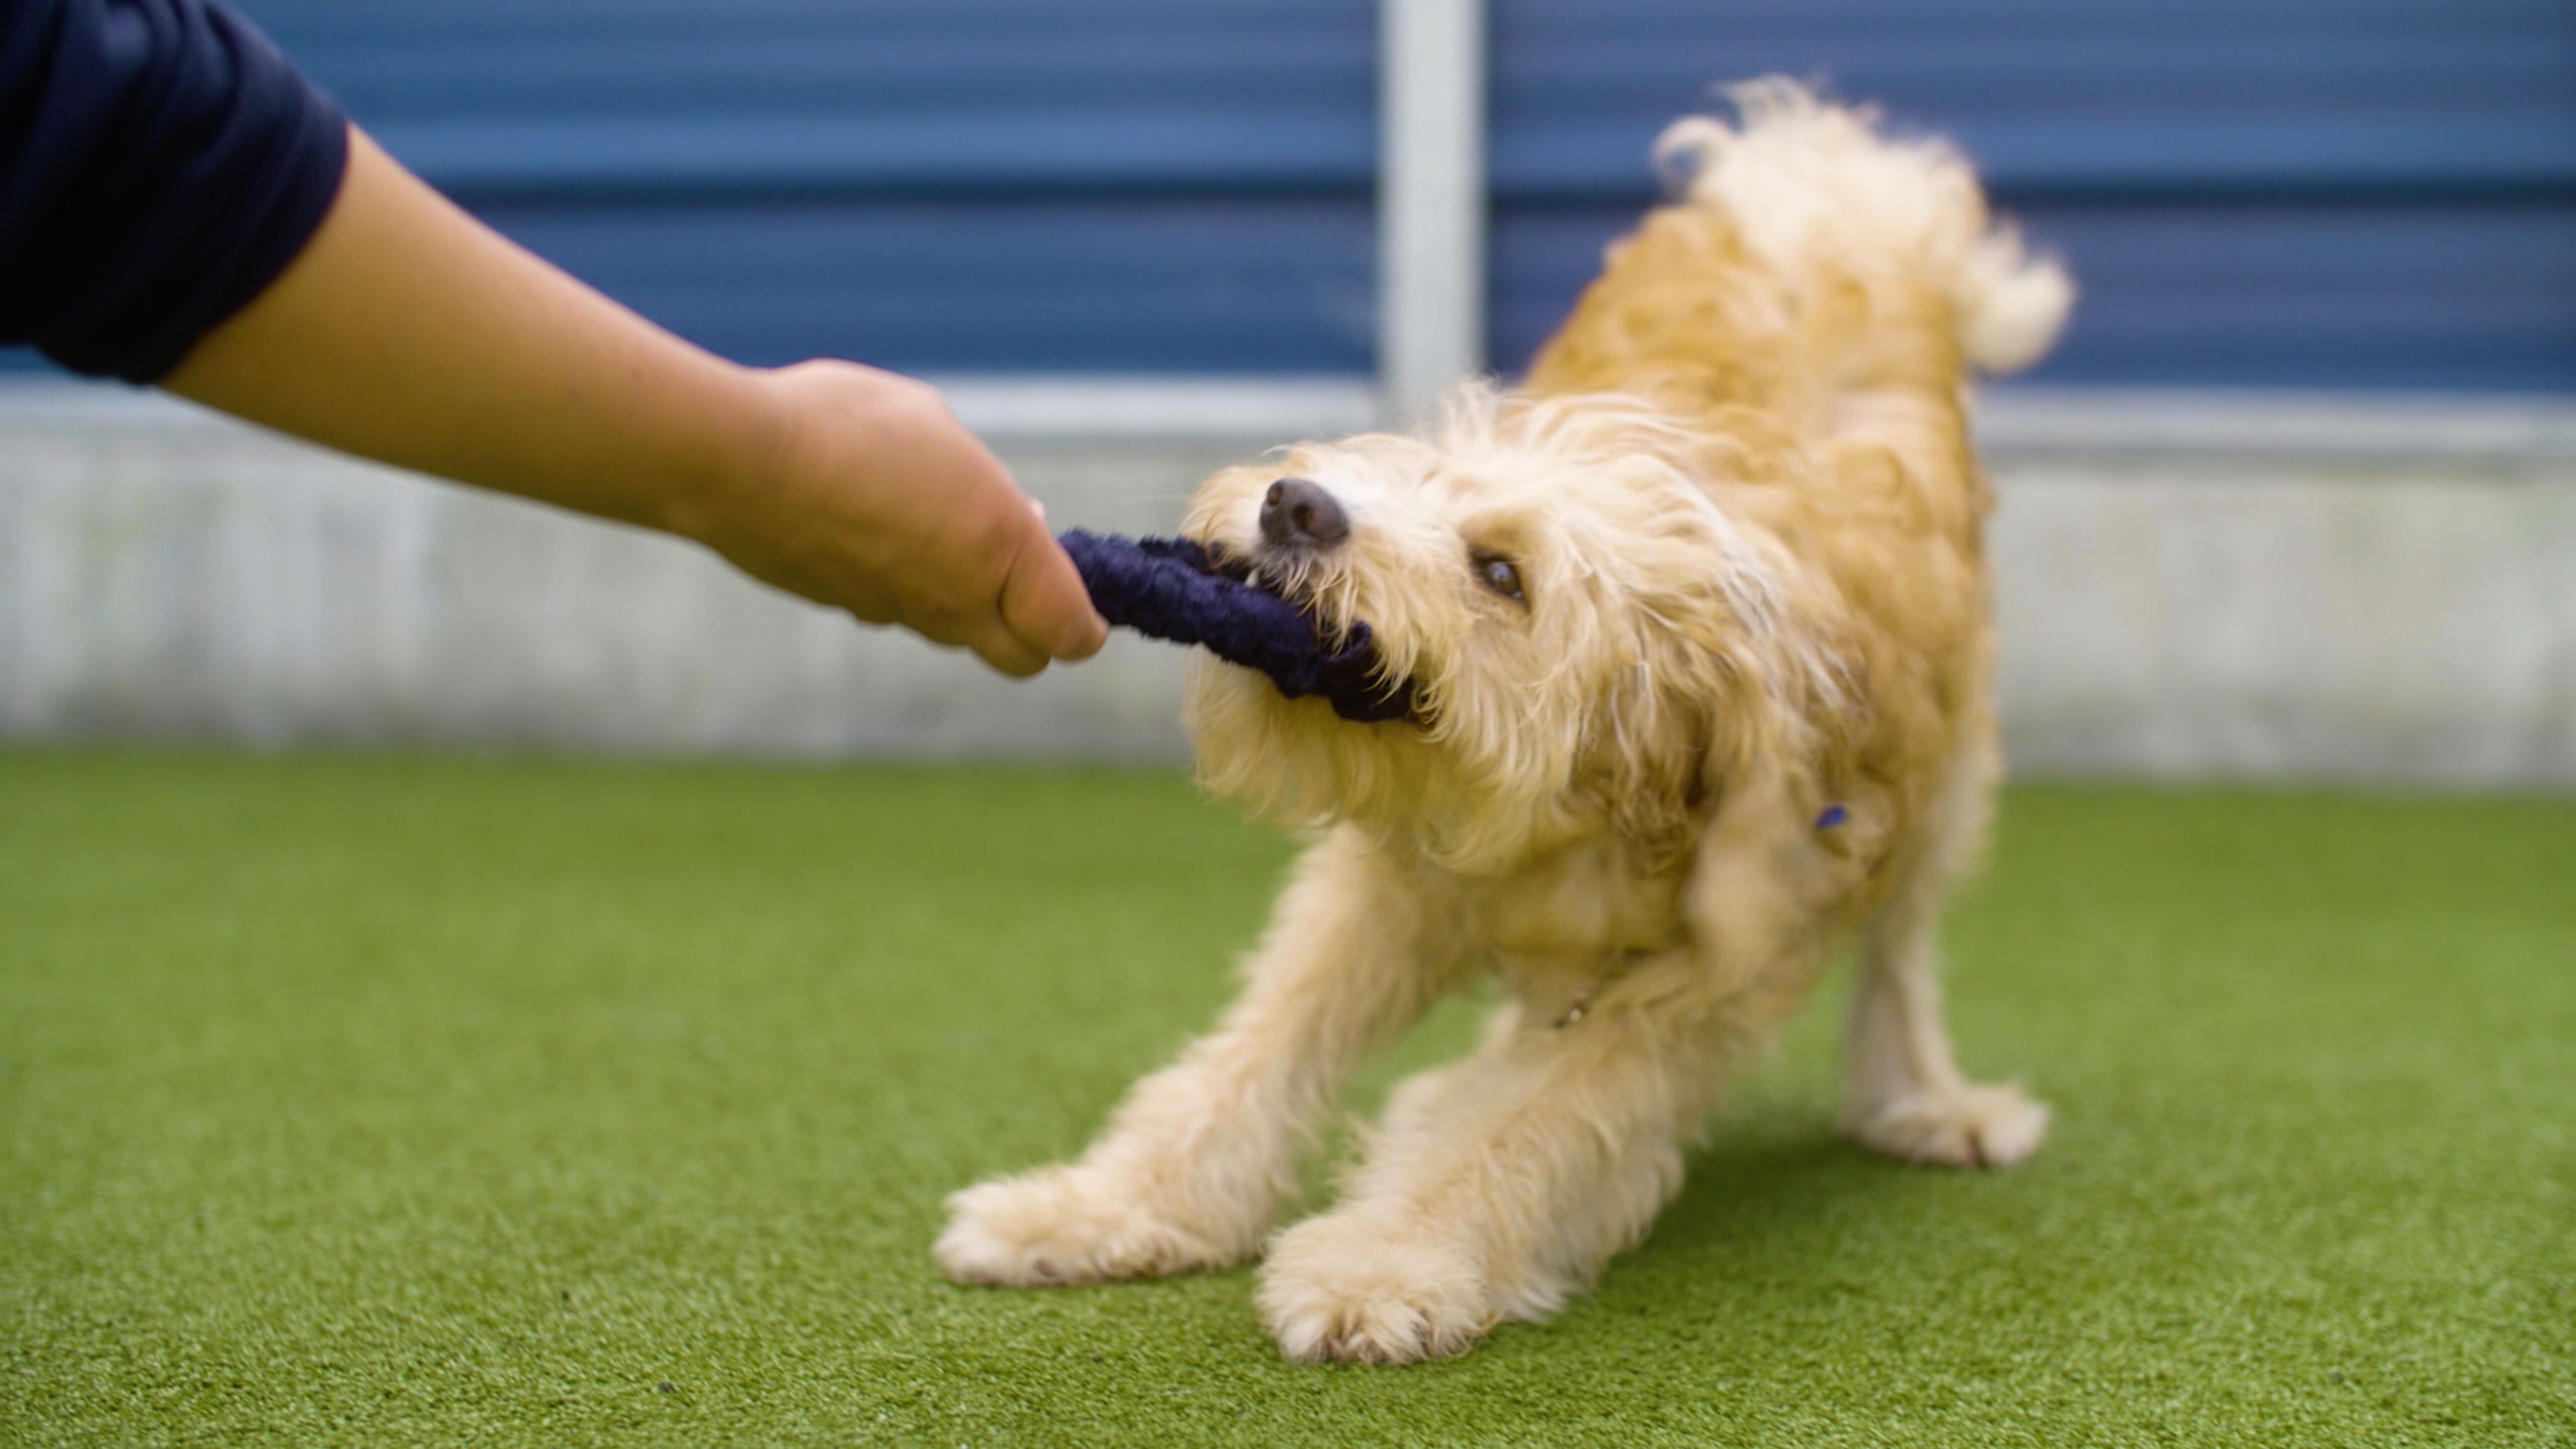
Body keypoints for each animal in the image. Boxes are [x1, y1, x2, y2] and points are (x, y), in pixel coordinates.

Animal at [937, 84, 2081, 1361]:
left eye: (1501, 573)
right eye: (1413, 479)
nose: (1295, 504)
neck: (1564, 818)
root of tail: (1827, 177)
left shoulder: (1704, 971)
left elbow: (1534, 1119)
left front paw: (1385, 1258)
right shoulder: (1382, 887)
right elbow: (1247, 1056)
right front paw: (1100, 1207)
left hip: (1947, 781)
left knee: (1900, 952)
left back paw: (1927, 1101)